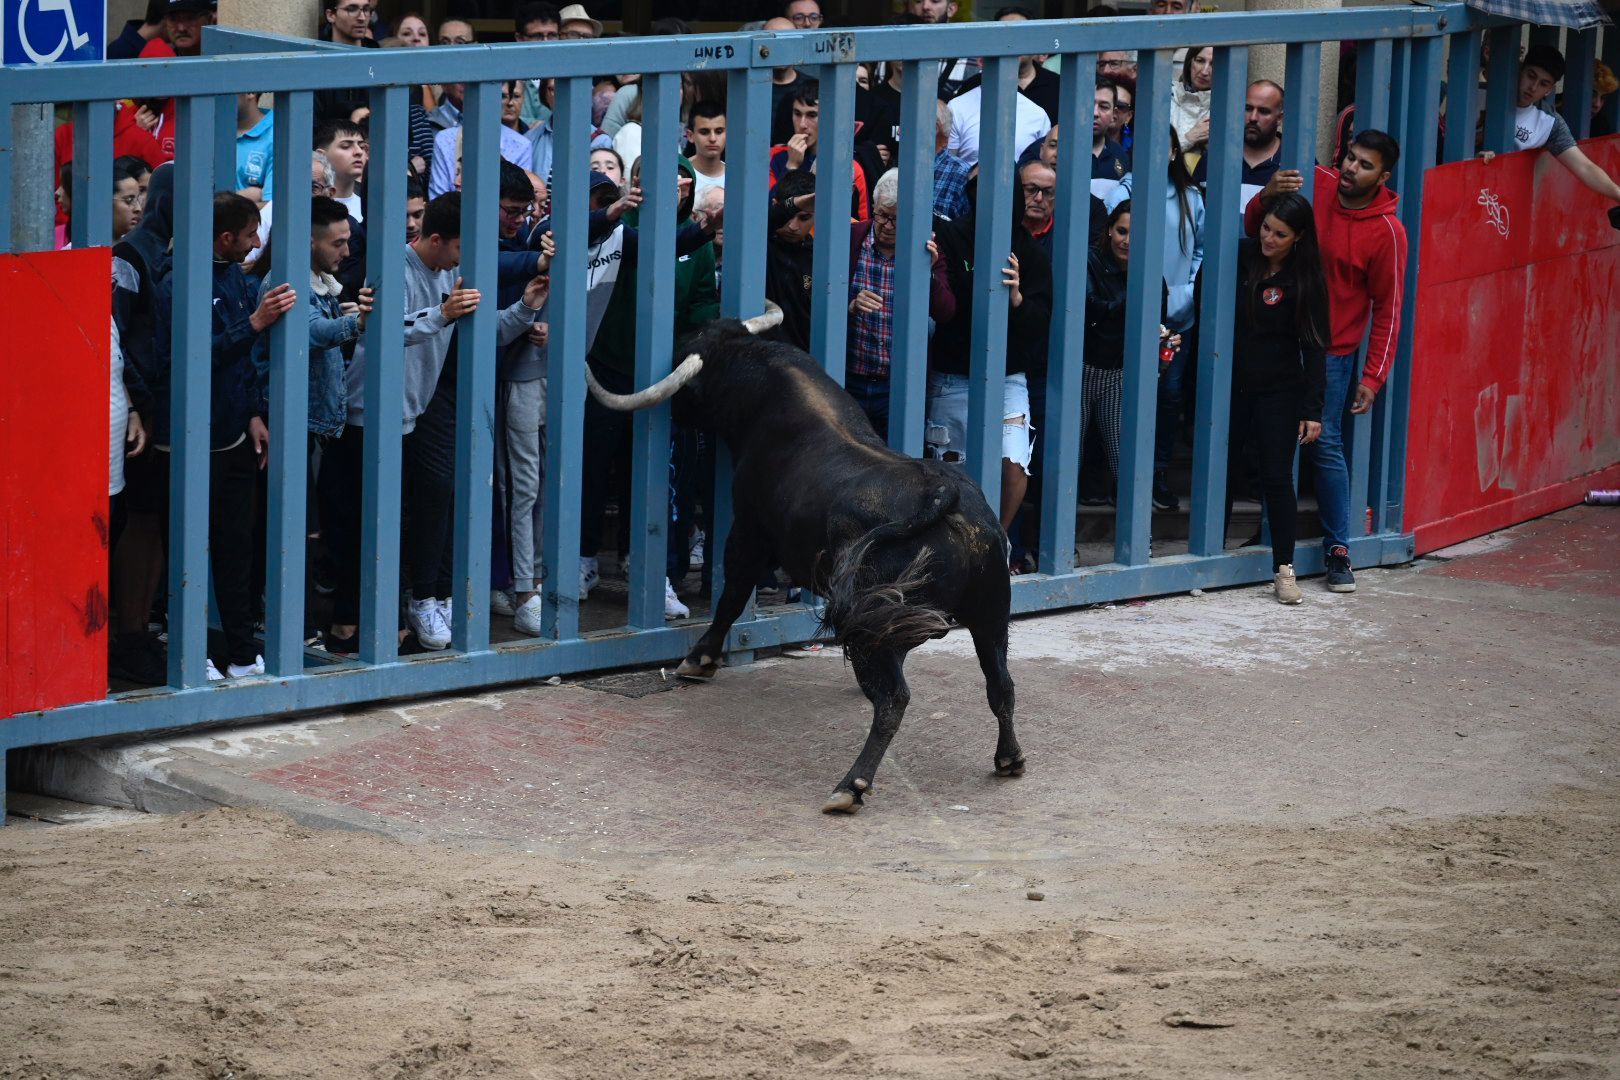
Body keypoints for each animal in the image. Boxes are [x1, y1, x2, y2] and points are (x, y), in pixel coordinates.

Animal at [586, 304, 1023, 809]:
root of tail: (943, 492)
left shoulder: (749, 533)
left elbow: (731, 595)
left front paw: (700, 660)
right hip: (990, 613)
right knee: (1001, 684)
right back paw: (1009, 758)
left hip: (886, 628)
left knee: (894, 699)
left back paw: (850, 785)